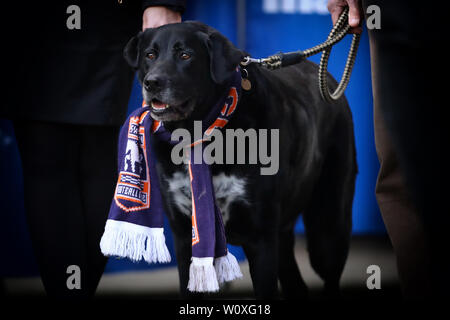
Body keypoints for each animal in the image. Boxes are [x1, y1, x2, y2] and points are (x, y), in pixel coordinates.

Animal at [122, 21, 356, 298]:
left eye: (185, 55)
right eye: (150, 55)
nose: (153, 83)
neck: (201, 131)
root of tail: (328, 79)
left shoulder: (261, 237)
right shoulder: (185, 236)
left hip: (327, 228)